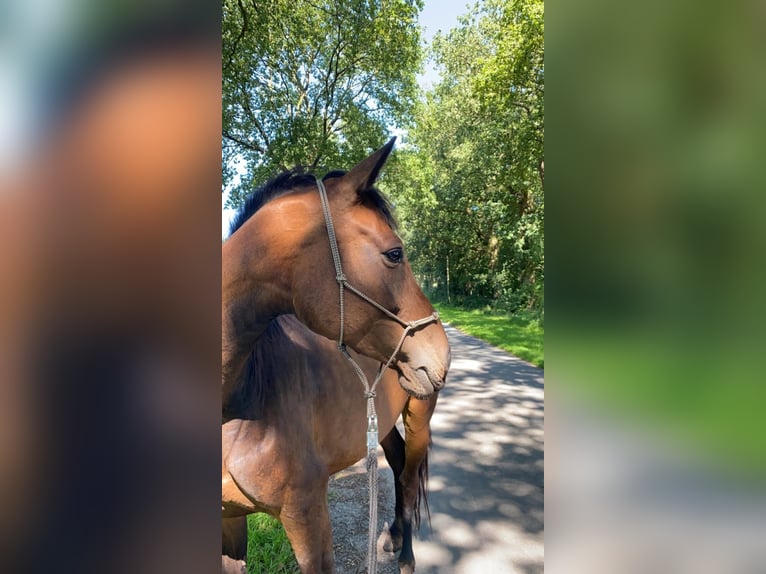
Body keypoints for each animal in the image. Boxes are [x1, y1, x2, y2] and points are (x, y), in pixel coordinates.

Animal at [222, 315, 439, 574]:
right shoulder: (229, 517)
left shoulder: (306, 519)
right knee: (398, 460)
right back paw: (395, 535)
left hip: (419, 415)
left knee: (409, 478)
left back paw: (406, 559)